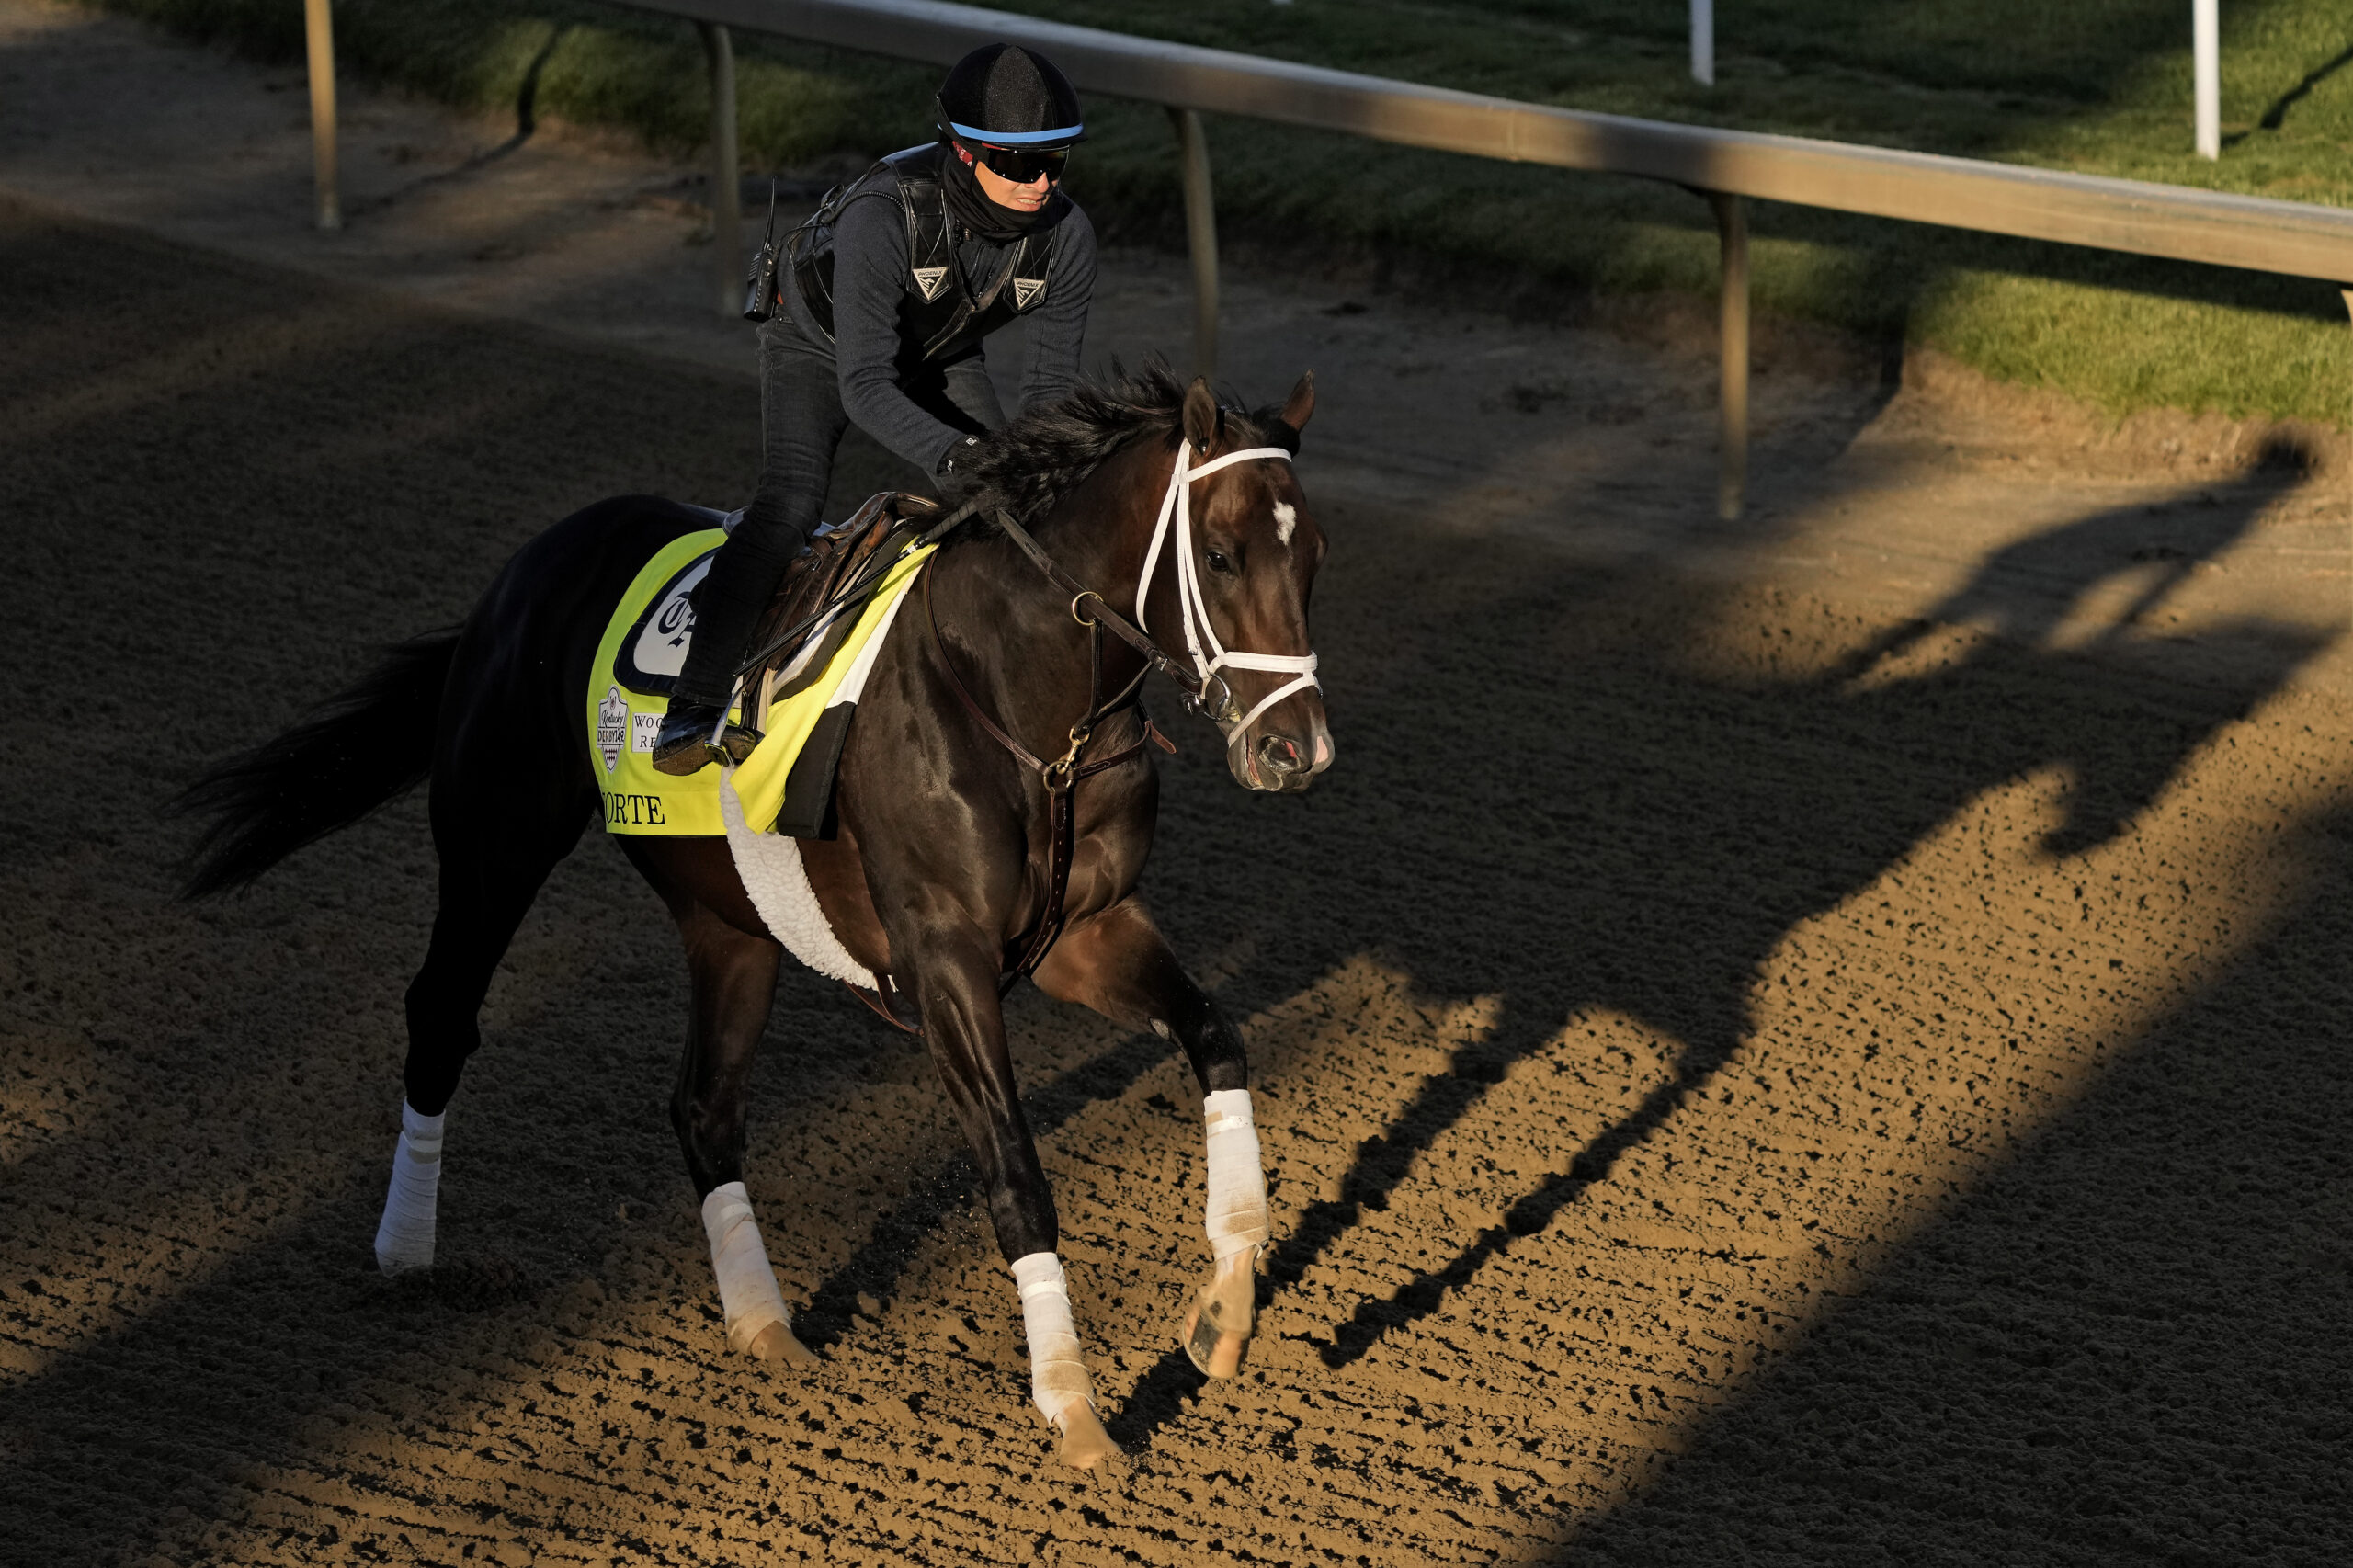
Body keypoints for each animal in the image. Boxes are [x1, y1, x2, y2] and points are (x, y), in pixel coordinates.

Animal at [174, 367, 1336, 1469]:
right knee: (441, 1016)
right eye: (1220, 555)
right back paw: (407, 1252)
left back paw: (764, 1323)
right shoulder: (945, 956)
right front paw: (1075, 1410)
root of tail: (530, 564)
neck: (1017, 699)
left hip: (730, 925)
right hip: (495, 841)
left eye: (1315, 555)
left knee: (703, 1104)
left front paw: (1226, 1305)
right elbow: (1015, 1172)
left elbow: (1217, 1040)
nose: (1298, 750)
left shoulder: (1085, 931)